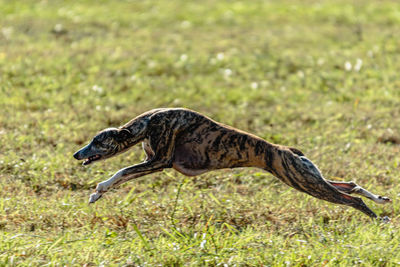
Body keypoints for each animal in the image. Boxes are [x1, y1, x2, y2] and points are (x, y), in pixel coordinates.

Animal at [73, 108, 392, 221]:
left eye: (97, 141)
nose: (77, 154)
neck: (149, 121)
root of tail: (288, 150)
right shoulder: (152, 161)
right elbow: (122, 176)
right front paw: (97, 194)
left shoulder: (158, 161)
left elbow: (120, 172)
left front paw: (98, 189)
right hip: (309, 177)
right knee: (351, 185)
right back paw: (381, 200)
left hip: (304, 181)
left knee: (350, 198)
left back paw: (379, 218)